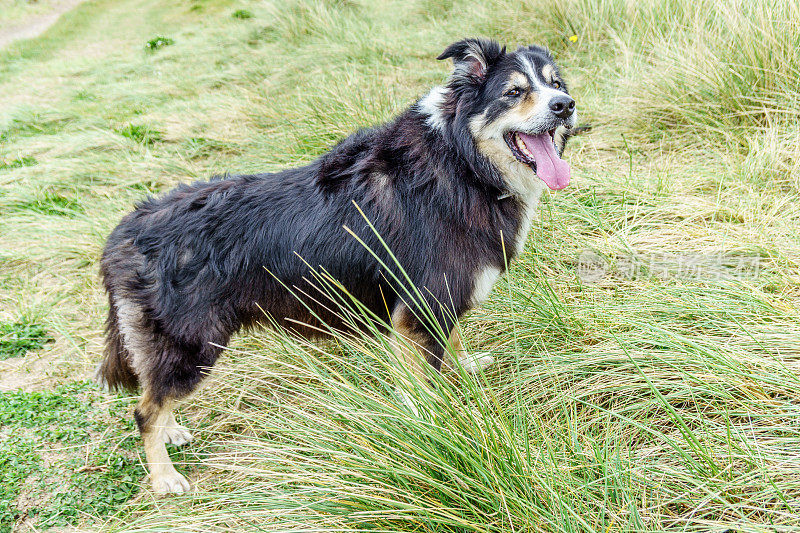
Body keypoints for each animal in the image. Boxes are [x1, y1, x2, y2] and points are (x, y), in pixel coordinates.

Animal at [98, 38, 576, 494]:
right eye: (514, 92)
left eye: (556, 84)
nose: (566, 106)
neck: (463, 163)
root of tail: (126, 230)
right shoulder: (420, 308)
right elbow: (424, 384)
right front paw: (436, 426)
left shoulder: (437, 300)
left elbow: (453, 339)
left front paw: (464, 366)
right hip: (192, 343)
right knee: (144, 409)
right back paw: (164, 477)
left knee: (154, 393)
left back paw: (172, 430)